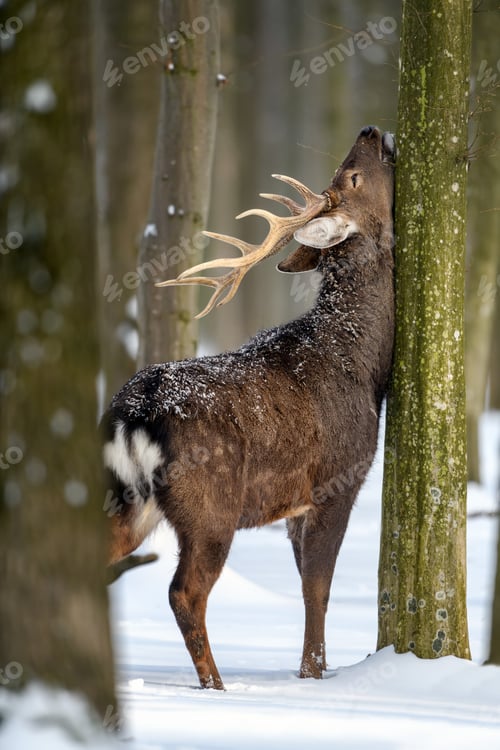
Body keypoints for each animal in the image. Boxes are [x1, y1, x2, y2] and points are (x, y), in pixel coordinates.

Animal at [102, 125, 395, 690]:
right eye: (352, 175)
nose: (371, 130)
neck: (366, 368)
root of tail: (135, 412)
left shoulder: (295, 505)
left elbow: (305, 581)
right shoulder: (338, 477)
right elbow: (318, 587)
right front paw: (314, 675)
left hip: (127, 498)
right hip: (210, 503)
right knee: (185, 591)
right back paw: (215, 686)